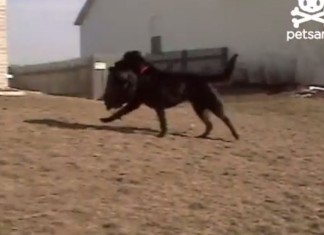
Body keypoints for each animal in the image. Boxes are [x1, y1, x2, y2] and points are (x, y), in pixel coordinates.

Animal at [100, 51, 239, 140]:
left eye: (124, 59)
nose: (114, 65)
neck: (144, 74)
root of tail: (205, 78)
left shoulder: (157, 106)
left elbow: (162, 121)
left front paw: (162, 134)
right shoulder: (136, 102)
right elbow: (120, 112)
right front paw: (106, 119)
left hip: (213, 104)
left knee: (226, 119)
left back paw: (236, 135)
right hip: (199, 108)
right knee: (209, 124)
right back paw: (203, 136)